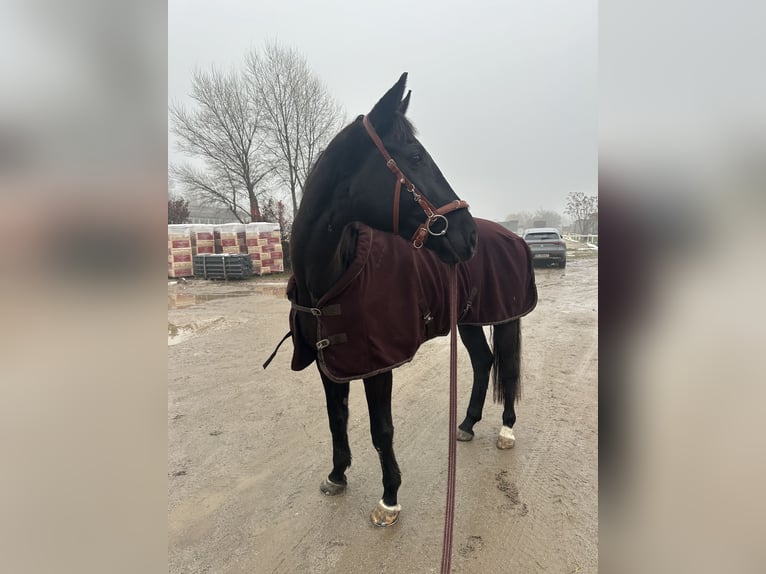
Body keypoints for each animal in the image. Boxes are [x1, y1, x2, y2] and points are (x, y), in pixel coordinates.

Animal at [284, 74, 540, 528]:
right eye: (416, 156)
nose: (467, 236)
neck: (329, 276)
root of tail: (513, 236)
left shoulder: (377, 364)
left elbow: (380, 429)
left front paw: (389, 499)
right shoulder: (329, 360)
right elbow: (337, 418)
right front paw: (336, 475)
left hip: (506, 318)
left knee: (507, 369)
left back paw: (506, 430)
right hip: (468, 321)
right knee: (484, 361)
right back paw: (467, 424)